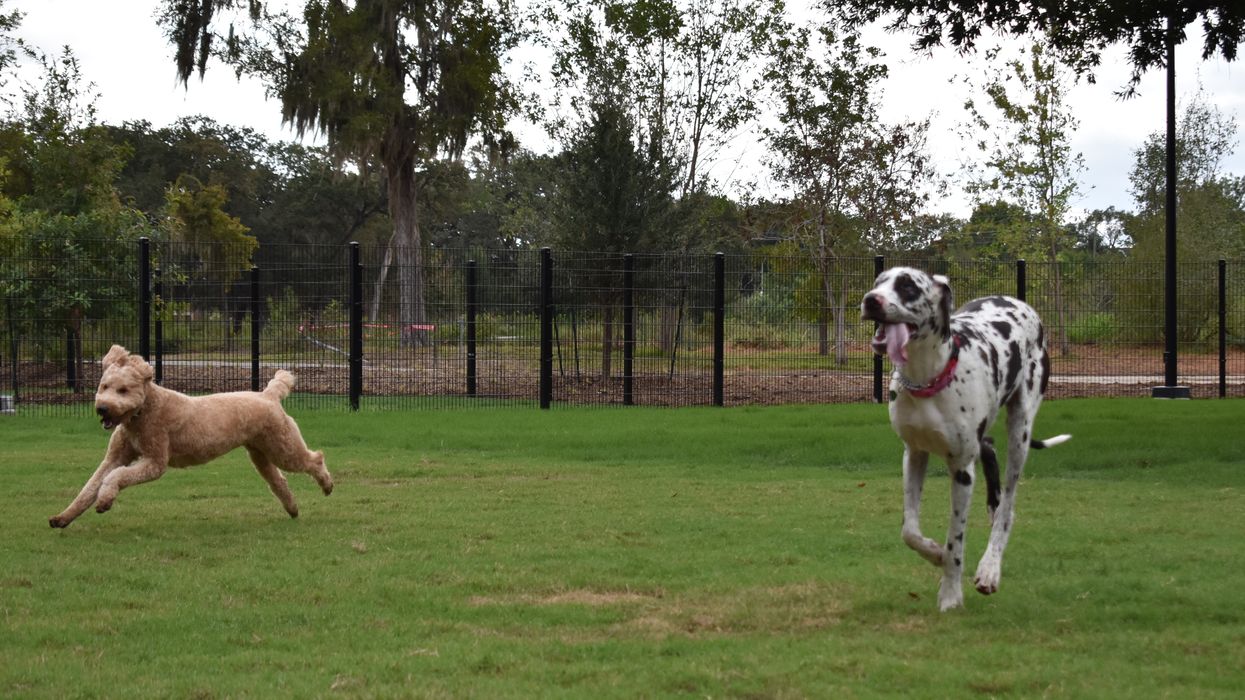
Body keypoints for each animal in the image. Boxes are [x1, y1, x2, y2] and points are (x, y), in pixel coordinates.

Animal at [856, 266, 1070, 610]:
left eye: (907, 286)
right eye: (878, 283)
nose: (870, 300)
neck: (927, 379)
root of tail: (1019, 302)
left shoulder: (961, 471)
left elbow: (955, 540)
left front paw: (950, 595)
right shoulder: (913, 454)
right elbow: (909, 531)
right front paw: (934, 553)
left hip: (1020, 431)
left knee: (1008, 506)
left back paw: (990, 568)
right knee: (991, 455)